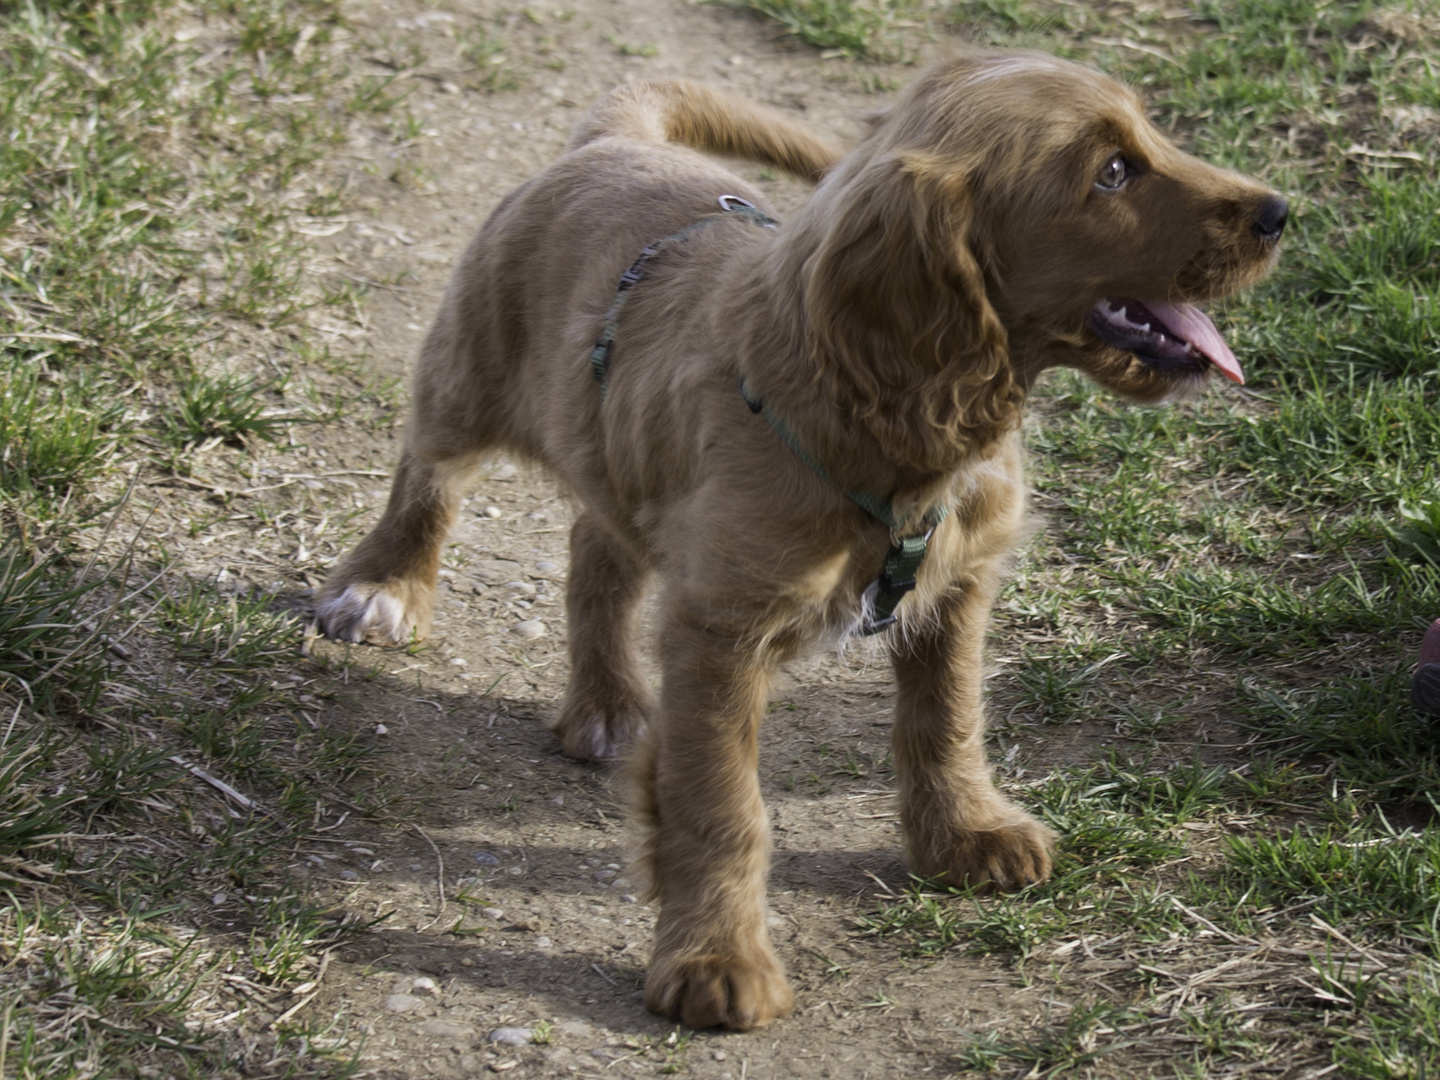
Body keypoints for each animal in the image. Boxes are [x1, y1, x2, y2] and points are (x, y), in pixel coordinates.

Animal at [312, 50, 1284, 1031]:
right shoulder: (721, 633)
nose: (1281, 213)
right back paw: (383, 585)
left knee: (596, 551)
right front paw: (715, 960)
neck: (878, 429)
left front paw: (965, 832)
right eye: (1113, 172)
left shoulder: (956, 589)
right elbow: (722, 808)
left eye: (1150, 134)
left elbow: (947, 721)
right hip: (467, 373)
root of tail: (617, 140)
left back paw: (607, 702)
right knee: (428, 473)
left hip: (616, 455)